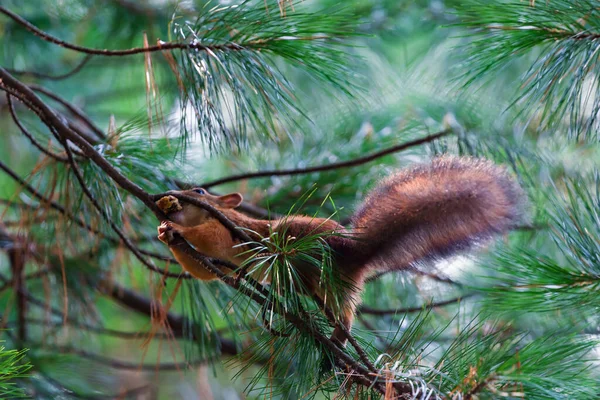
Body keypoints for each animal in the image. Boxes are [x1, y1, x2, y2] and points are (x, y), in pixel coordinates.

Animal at [155, 155, 524, 346]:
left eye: (200, 192)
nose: (167, 195)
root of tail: (356, 254)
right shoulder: (217, 262)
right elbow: (202, 269)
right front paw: (164, 234)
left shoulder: (231, 229)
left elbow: (209, 237)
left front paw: (177, 229)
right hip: (335, 284)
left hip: (318, 262)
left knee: (344, 313)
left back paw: (338, 335)